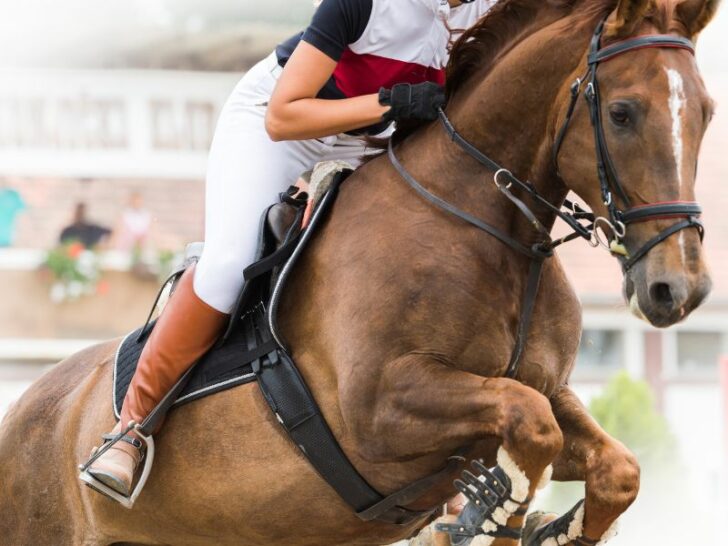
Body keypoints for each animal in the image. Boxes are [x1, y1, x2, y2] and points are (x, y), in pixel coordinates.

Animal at [0, 0, 718, 544]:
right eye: (622, 113)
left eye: (707, 112)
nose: (678, 290)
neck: (488, 229)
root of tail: (27, 406)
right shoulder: (379, 408)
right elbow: (528, 425)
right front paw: (493, 506)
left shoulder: (552, 388)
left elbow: (614, 466)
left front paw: (547, 523)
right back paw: (118, 458)